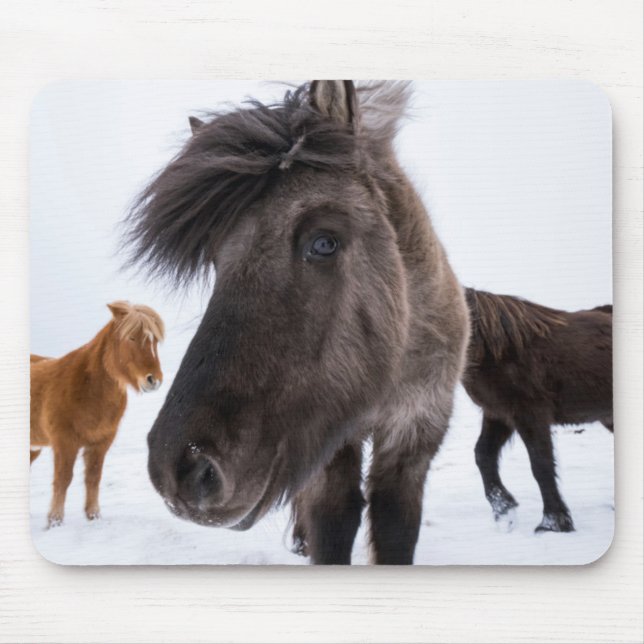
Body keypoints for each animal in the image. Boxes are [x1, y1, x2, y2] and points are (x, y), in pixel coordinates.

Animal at [30, 301, 164, 527]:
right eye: (131, 337)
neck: (88, 390)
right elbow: (63, 479)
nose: (153, 380)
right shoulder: (65, 443)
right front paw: (55, 521)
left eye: (154, 340)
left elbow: (93, 477)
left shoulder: (100, 443)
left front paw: (93, 516)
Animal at [125, 80, 469, 565]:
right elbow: (332, 521)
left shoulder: (413, 438)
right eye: (216, 259)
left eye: (324, 242)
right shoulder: (329, 445)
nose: (182, 469)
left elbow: (394, 526)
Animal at [463, 288, 613, 533]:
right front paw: (504, 511)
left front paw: (553, 522)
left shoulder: (530, 415)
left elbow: (541, 464)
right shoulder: (498, 414)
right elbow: (483, 454)